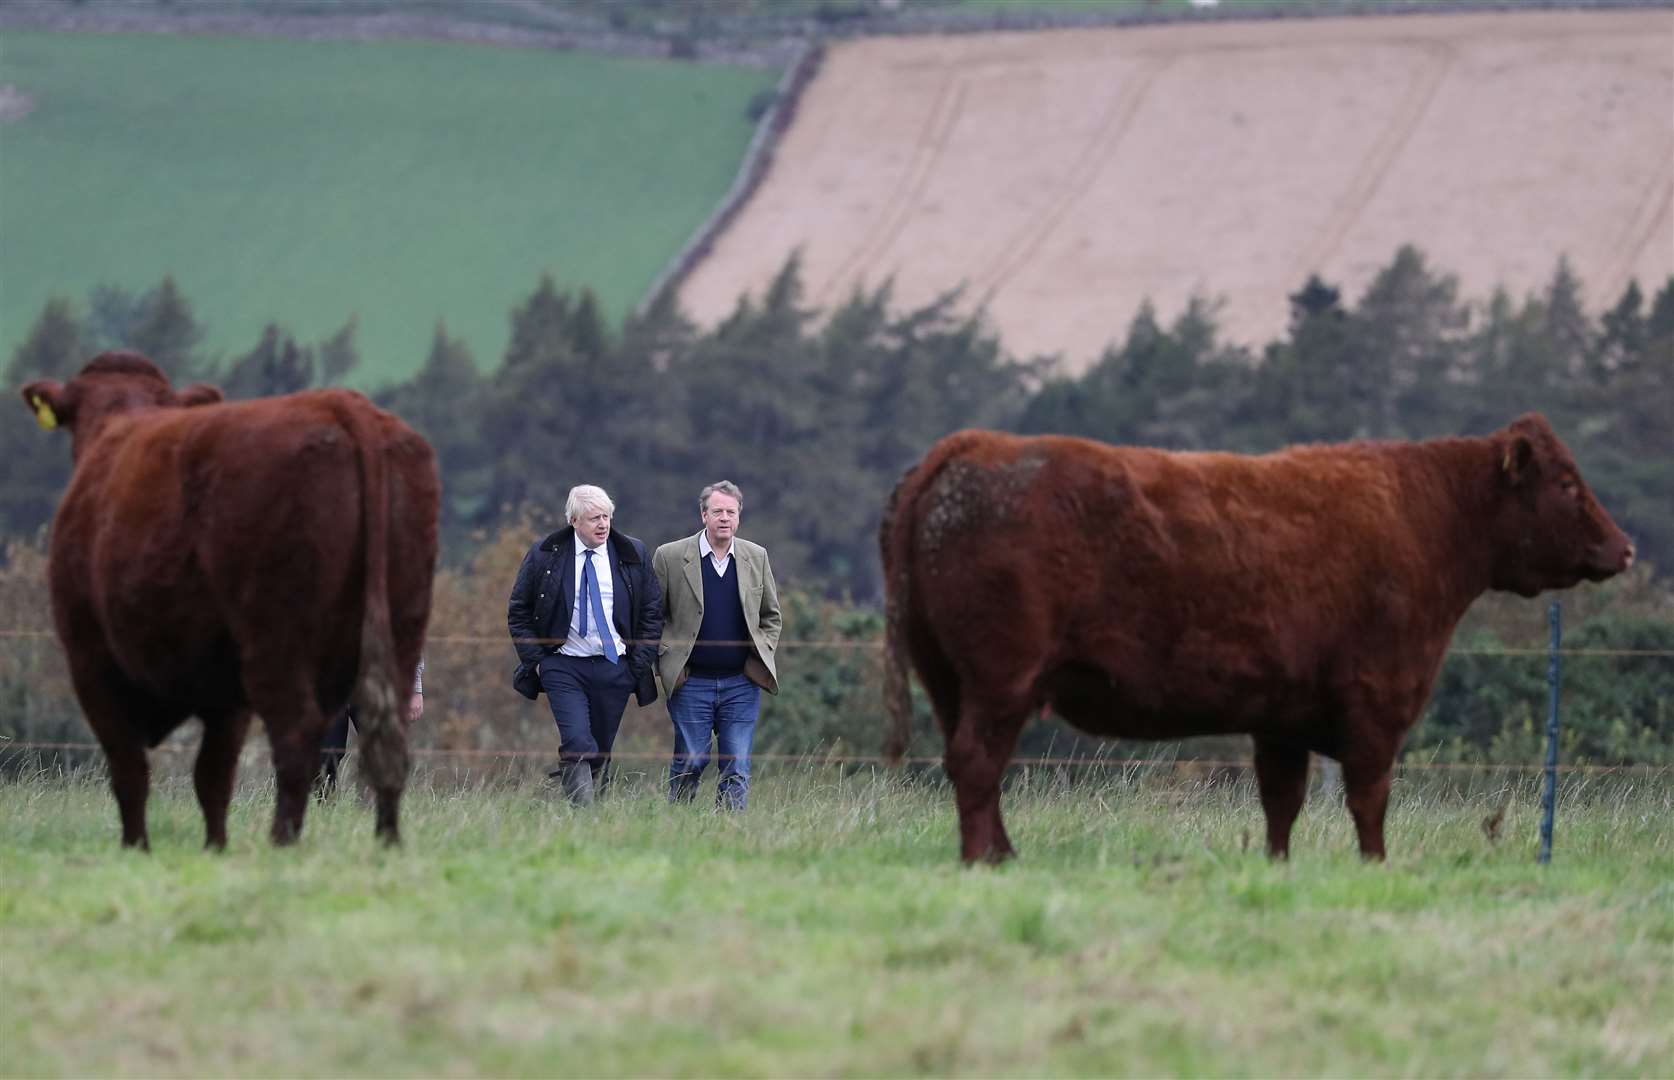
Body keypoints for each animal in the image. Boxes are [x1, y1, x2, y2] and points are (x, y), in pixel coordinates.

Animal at [20, 349, 438, 847]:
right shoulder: (224, 689)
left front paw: (138, 848)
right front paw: (214, 849)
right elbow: (212, 776)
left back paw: (281, 843)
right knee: (384, 741)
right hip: (399, 627)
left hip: (275, 638)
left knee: (298, 737)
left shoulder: (91, 660)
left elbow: (131, 768)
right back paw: (385, 844)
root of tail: (342, 406)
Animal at [877, 416, 1633, 864]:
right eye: (1568, 484)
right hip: (1001, 679)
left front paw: (1277, 867)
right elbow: (1369, 796)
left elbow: (1282, 801)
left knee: (973, 766)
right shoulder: (1376, 701)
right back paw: (982, 861)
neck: (1427, 517)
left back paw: (1002, 855)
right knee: (977, 763)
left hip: (951, 679)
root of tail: (973, 444)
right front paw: (1375, 866)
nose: (1624, 548)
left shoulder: (1283, 718)